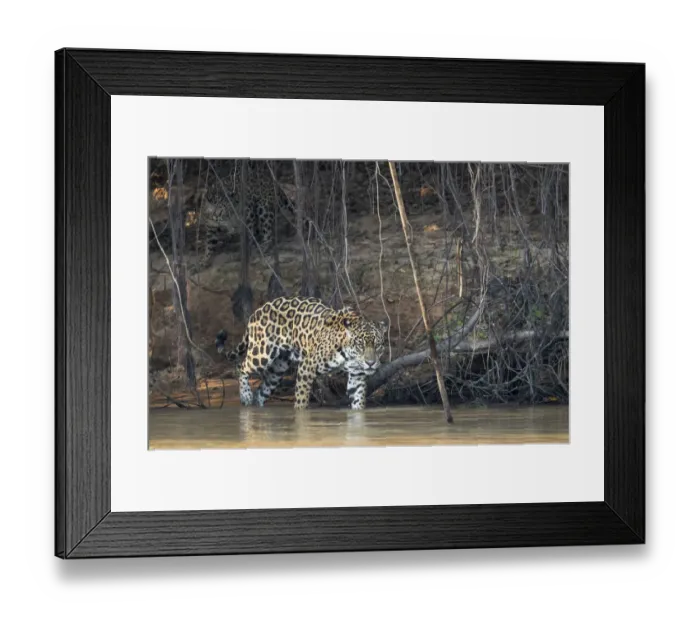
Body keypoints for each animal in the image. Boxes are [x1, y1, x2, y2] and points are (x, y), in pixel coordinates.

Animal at [215, 296, 387, 410]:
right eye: (360, 345)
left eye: (378, 345)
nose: (370, 363)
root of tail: (257, 311)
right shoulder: (307, 367)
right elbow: (301, 400)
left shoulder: (357, 376)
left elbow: (358, 402)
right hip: (262, 353)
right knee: (241, 366)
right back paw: (245, 395)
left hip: (277, 369)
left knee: (261, 391)